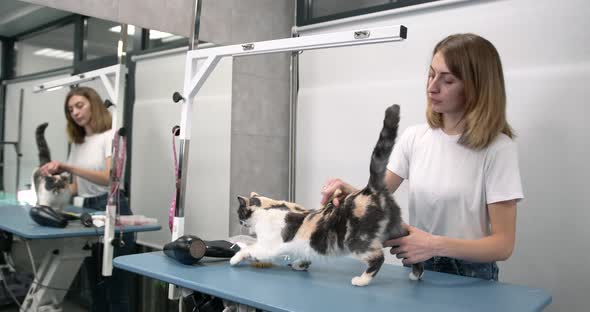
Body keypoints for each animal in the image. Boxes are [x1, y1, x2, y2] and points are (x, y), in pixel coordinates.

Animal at [231, 104, 426, 286]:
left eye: (239, 214)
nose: (241, 223)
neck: (269, 207)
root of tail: (370, 189)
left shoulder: (267, 247)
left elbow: (248, 249)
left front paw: (235, 259)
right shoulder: (304, 248)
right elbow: (305, 256)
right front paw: (299, 265)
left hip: (357, 241)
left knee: (378, 258)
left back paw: (362, 280)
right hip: (398, 233)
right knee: (415, 257)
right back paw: (415, 275)